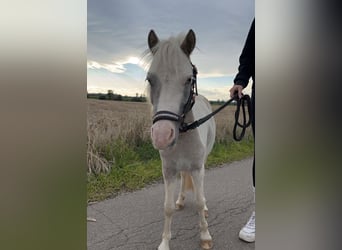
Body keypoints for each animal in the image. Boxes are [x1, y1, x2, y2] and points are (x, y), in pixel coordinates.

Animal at [146, 29, 215, 250]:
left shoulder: (197, 168)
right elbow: (167, 207)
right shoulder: (168, 171)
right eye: (150, 79)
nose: (162, 136)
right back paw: (181, 200)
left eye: (188, 79)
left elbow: (199, 202)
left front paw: (205, 236)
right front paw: (164, 243)